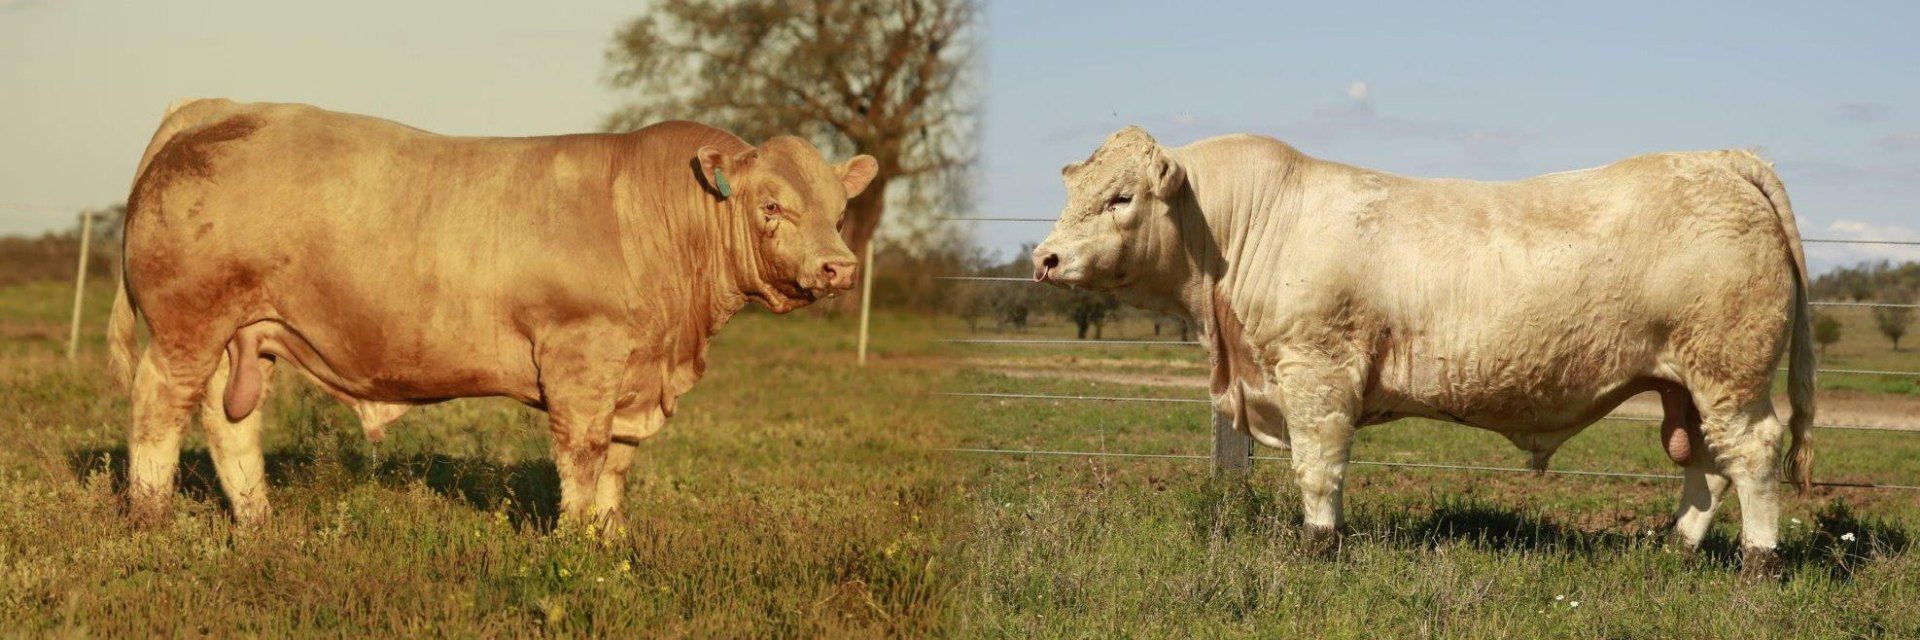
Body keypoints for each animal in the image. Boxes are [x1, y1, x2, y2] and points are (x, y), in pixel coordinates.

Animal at [107, 99, 877, 531]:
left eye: (839, 212)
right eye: (772, 205)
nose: (838, 268)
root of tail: (214, 109)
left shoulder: (635, 380)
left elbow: (617, 468)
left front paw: (611, 545)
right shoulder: (580, 360)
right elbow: (583, 458)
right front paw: (574, 546)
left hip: (244, 333)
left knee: (228, 423)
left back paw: (260, 523)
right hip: (186, 325)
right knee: (156, 409)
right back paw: (150, 520)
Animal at [1031, 126, 1813, 578]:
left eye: (1121, 197)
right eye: (1074, 192)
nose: (1045, 257)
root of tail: (1722, 160)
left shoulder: (1316, 371)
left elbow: (1318, 468)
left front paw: (1320, 546)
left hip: (1730, 370)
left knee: (1752, 455)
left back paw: (1759, 562)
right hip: (1691, 380)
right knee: (1708, 466)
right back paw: (1673, 548)